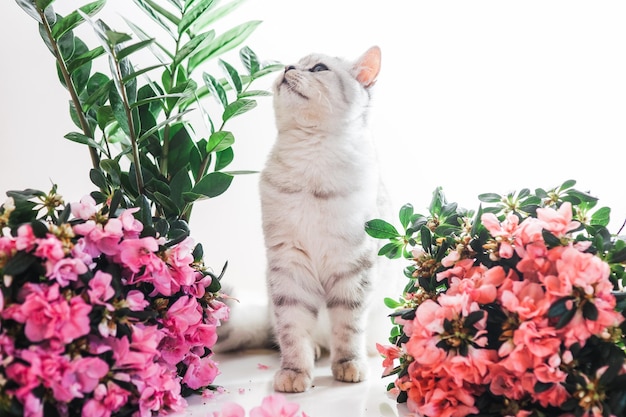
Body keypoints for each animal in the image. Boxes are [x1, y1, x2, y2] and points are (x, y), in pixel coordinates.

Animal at [212, 46, 392, 394]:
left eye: (318, 68)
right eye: (293, 64)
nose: (287, 68)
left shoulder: (352, 266)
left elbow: (348, 329)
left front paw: (349, 366)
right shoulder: (289, 265)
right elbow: (293, 332)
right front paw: (295, 373)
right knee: (288, 335)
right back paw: (316, 351)